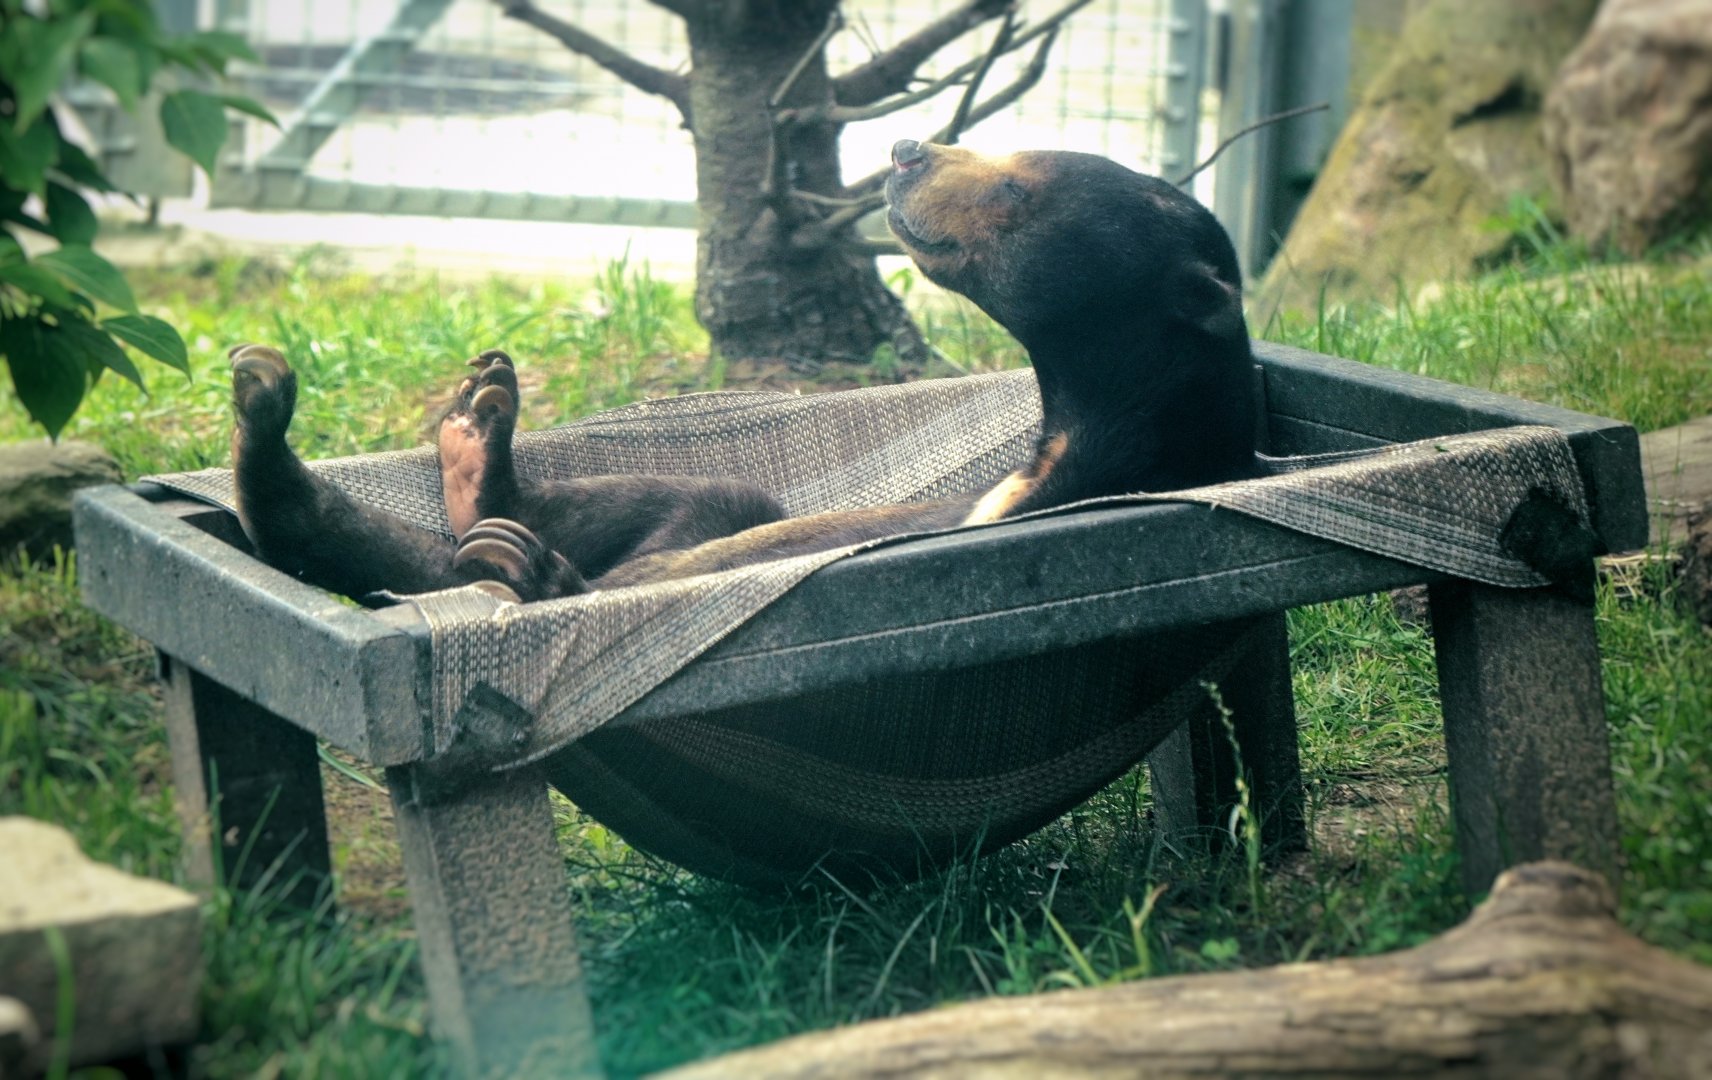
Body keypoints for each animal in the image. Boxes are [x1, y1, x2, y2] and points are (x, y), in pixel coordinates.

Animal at [226, 140, 1256, 600]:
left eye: (1012, 185)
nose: (906, 148)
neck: (1070, 439)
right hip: (701, 501)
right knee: (672, 497)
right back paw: (474, 441)